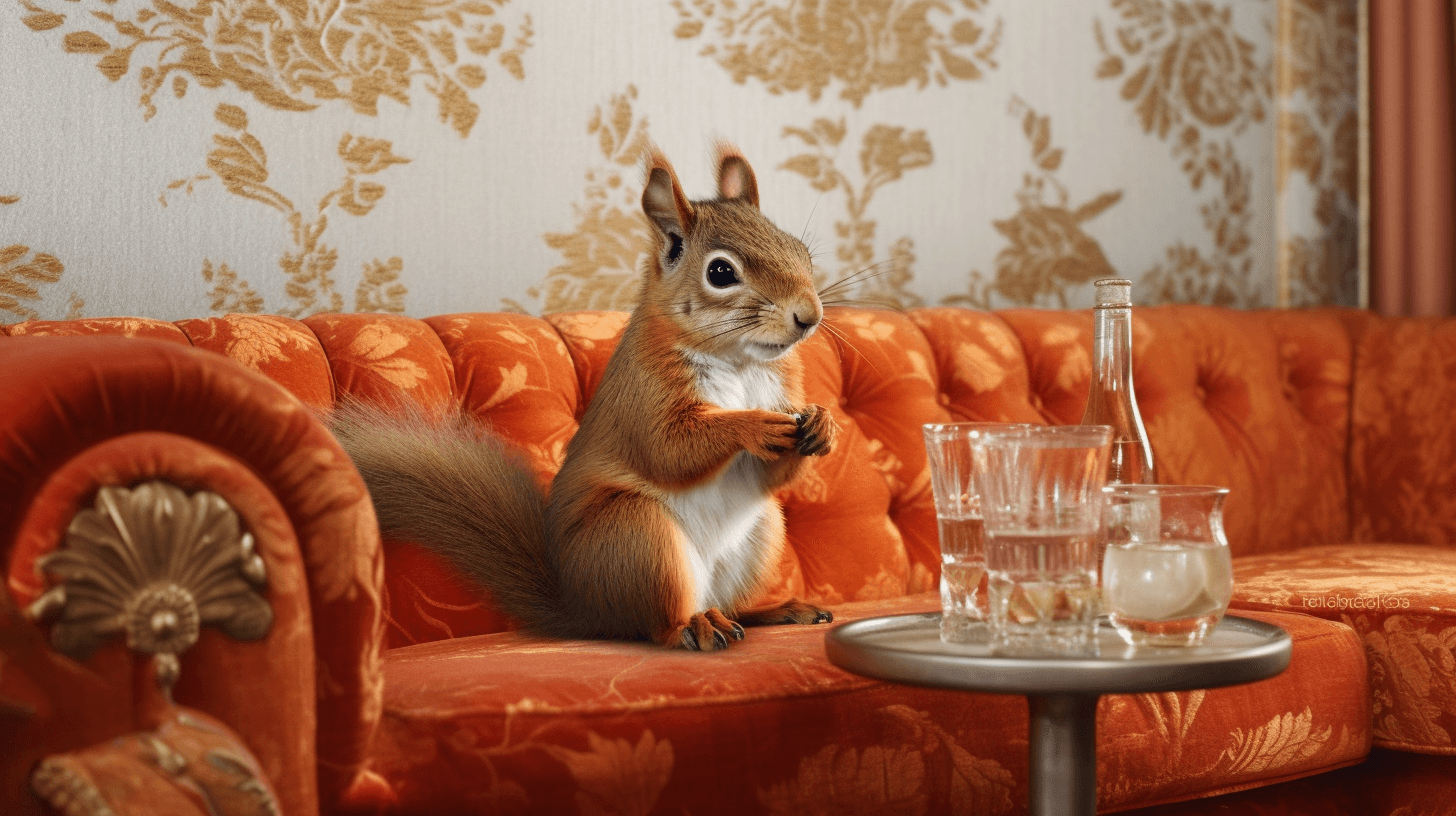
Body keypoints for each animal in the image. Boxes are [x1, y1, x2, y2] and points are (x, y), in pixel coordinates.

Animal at [331, 144, 840, 651]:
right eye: (720, 272)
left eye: (801, 251)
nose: (809, 316)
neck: (739, 361)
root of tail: (585, 609)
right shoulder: (643, 393)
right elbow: (668, 450)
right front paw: (752, 423)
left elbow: (769, 474)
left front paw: (822, 423)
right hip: (636, 536)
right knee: (657, 625)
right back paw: (694, 626)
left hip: (762, 533)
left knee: (733, 607)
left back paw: (776, 610)